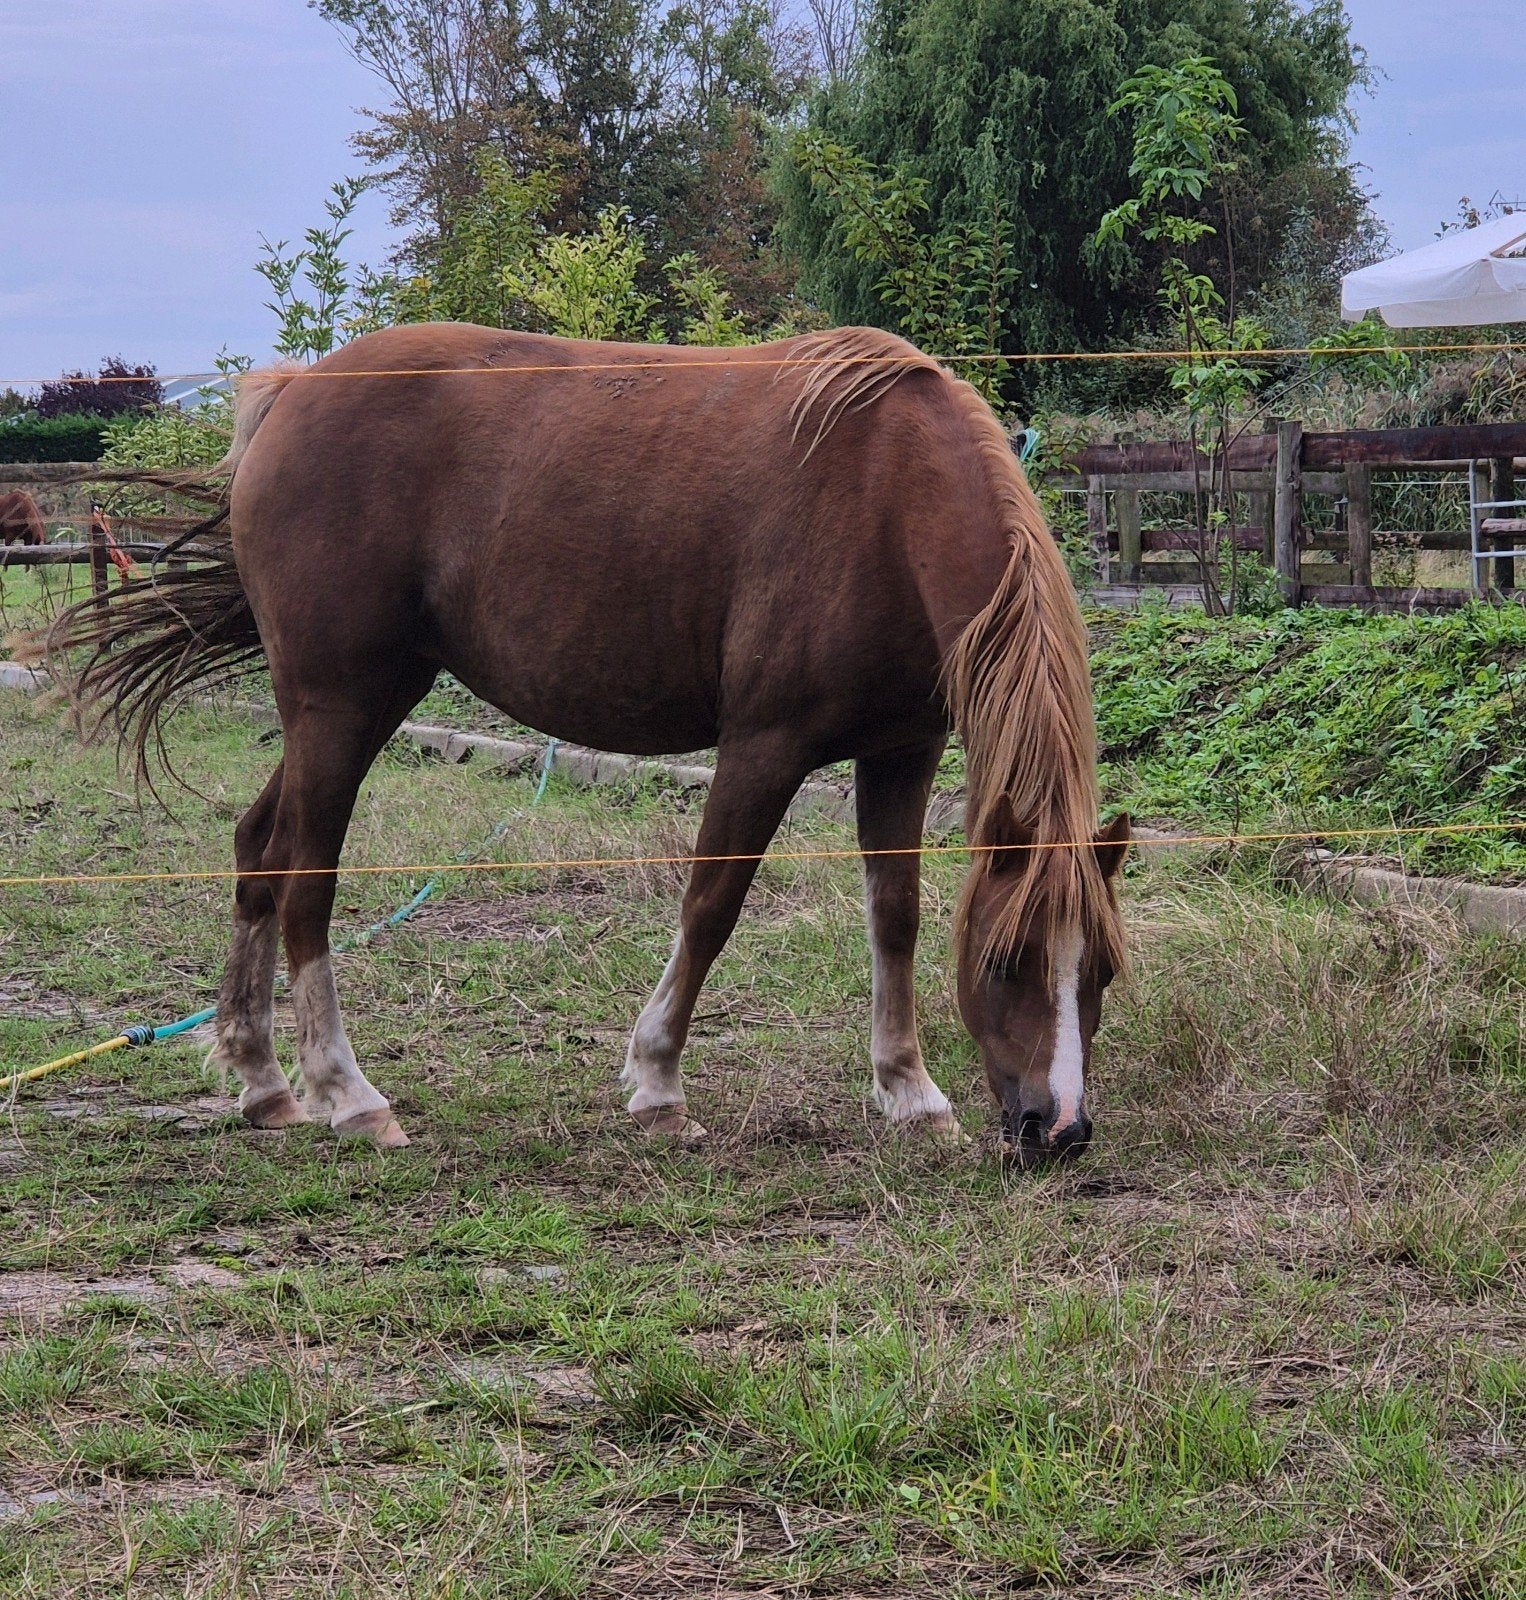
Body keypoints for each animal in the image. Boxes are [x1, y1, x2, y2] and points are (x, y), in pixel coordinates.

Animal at [43, 323, 1129, 1167]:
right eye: (1005, 960)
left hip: (346, 708)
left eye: (1100, 973)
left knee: (259, 847)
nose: (1058, 1129)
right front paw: (657, 1083)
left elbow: (893, 916)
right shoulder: (763, 746)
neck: (888, 495)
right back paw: (346, 1094)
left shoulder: (901, 750)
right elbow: (711, 902)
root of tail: (291, 394)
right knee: (306, 877)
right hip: (341, 708)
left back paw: (262, 1076)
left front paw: (907, 1092)